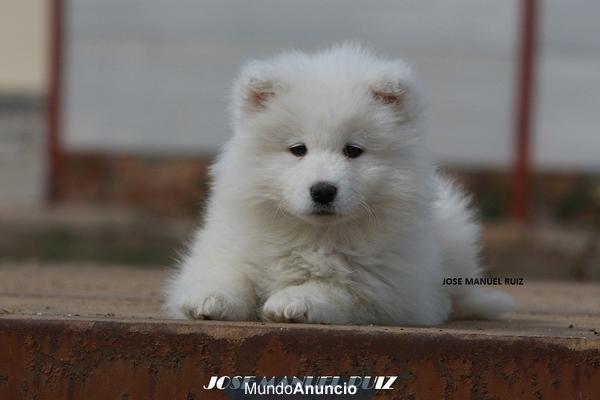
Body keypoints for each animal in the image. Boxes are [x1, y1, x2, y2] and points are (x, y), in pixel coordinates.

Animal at [164, 44, 516, 324]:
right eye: (298, 149)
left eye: (353, 150)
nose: (323, 190)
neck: (315, 235)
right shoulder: (227, 247)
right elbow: (231, 274)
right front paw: (210, 299)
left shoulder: (383, 287)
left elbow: (335, 287)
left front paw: (292, 301)